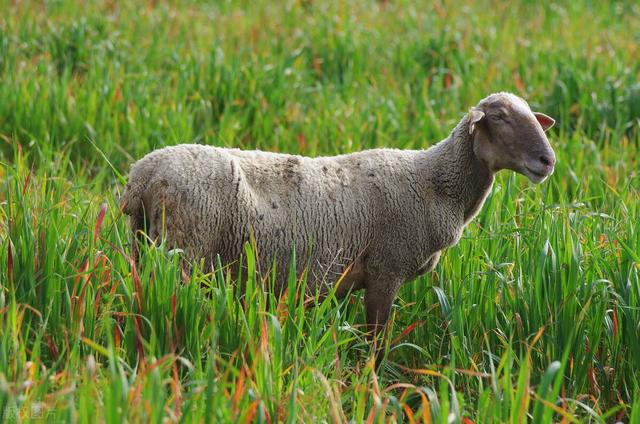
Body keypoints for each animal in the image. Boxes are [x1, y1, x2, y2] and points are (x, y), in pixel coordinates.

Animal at [121, 92, 556, 334]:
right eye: (499, 117)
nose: (547, 160)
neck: (434, 182)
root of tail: (140, 176)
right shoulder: (386, 269)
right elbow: (376, 343)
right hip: (185, 251)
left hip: (145, 245)